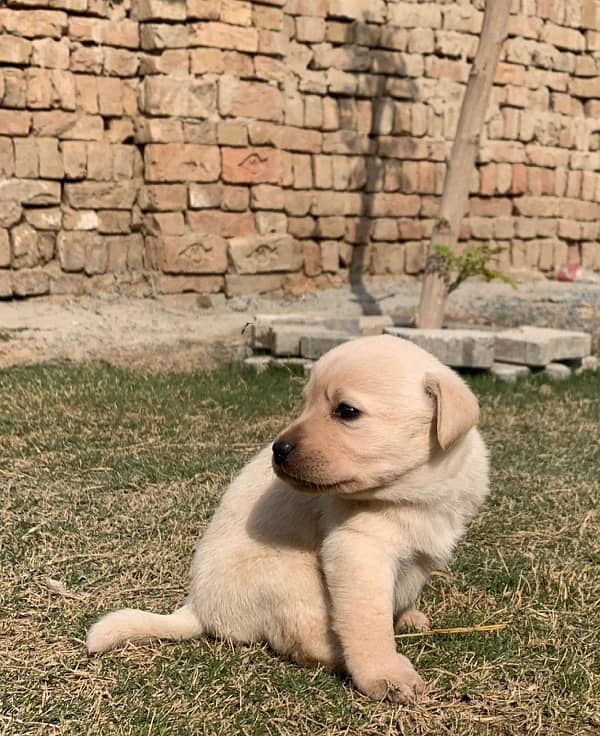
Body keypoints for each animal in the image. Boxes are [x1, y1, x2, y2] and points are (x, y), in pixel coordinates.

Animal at [86, 334, 488, 700]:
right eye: (305, 403)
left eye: (346, 411)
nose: (278, 449)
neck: (416, 491)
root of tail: (198, 607)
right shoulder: (357, 551)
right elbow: (368, 624)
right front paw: (386, 675)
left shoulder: (425, 548)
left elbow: (405, 590)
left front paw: (407, 615)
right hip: (292, 575)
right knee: (301, 642)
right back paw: (340, 658)